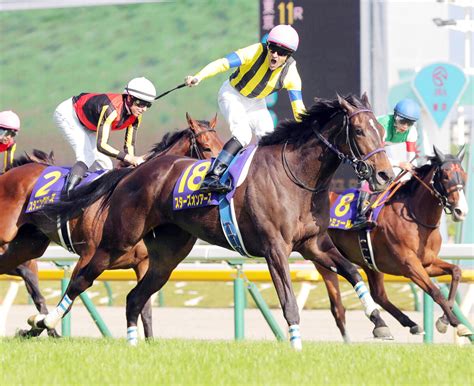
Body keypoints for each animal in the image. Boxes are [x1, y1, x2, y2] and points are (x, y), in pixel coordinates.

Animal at [0, 113, 223, 336]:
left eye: (221, 144)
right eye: (206, 147)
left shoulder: (144, 264)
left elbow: (145, 309)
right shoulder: (88, 255)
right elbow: (71, 294)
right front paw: (40, 326)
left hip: (28, 247)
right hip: (8, 234)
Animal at [30, 95, 396, 348]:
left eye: (381, 130)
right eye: (359, 131)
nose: (384, 175)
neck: (296, 176)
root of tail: (135, 171)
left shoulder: (313, 245)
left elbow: (352, 272)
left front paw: (379, 322)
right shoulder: (275, 249)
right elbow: (289, 301)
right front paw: (295, 344)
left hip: (167, 256)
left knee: (135, 297)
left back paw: (132, 344)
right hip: (116, 242)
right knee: (81, 279)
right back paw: (43, 322)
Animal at [324, 146, 472, 340]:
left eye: (463, 175)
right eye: (445, 176)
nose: (461, 211)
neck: (416, 218)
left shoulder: (427, 263)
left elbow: (456, 271)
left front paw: (445, 320)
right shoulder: (408, 265)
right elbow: (435, 291)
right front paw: (457, 323)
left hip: (368, 262)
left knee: (378, 295)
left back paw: (400, 324)